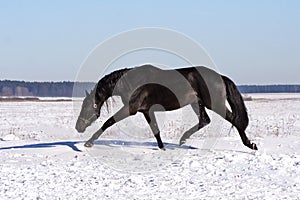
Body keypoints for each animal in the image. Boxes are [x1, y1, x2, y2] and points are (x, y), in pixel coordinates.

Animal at [75, 65, 258, 151]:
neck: (132, 82)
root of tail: (220, 77)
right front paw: (162, 147)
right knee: (204, 120)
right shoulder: (146, 111)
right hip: (197, 103)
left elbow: (108, 122)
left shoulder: (131, 108)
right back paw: (183, 140)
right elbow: (155, 130)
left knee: (235, 120)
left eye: (86, 107)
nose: (78, 127)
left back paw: (250, 145)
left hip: (215, 104)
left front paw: (89, 142)